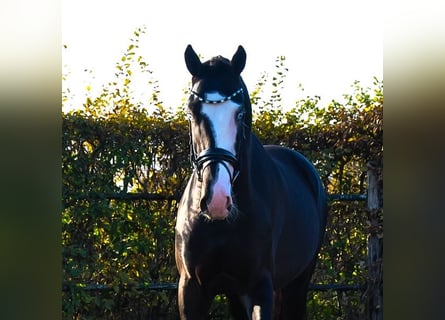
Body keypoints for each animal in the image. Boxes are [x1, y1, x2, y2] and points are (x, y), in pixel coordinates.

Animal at [174, 45, 326, 320]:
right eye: (191, 112)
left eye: (240, 113)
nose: (217, 200)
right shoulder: (191, 289)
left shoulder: (259, 288)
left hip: (298, 283)